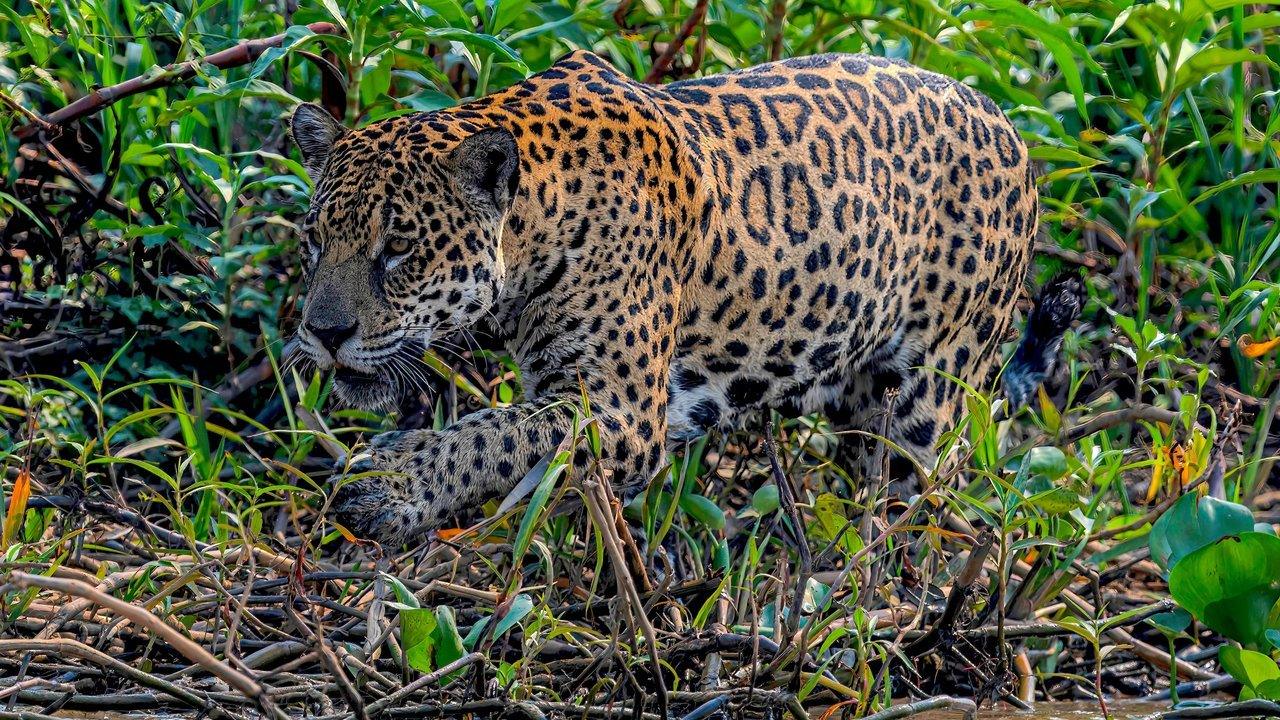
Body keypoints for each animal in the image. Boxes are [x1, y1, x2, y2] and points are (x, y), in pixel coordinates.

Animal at [287, 50, 1080, 546]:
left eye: (399, 249)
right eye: (315, 237)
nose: (323, 332)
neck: (535, 220)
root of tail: (1012, 125)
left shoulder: (623, 412)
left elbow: (492, 434)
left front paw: (389, 484)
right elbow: (502, 432)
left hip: (930, 399)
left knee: (928, 502)